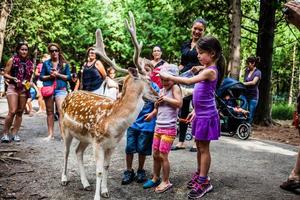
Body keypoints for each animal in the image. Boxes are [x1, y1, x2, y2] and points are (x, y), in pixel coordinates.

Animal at [61, 12, 159, 200]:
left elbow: (106, 167)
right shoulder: (98, 141)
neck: (114, 124)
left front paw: (105, 191)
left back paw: (85, 183)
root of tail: (69, 94)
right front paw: (97, 196)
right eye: (148, 80)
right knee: (67, 151)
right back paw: (63, 179)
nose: (158, 96)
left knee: (78, 152)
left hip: (84, 137)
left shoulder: (112, 144)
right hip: (65, 129)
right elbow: (99, 170)